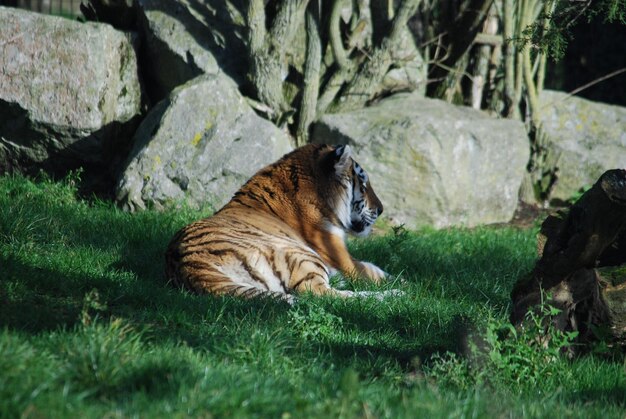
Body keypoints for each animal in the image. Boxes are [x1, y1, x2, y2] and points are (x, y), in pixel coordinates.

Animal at [166, 144, 398, 302]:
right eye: (364, 184)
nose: (381, 209)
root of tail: (189, 264)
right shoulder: (343, 259)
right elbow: (377, 272)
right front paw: (402, 282)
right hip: (300, 254)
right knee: (324, 295)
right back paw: (394, 295)